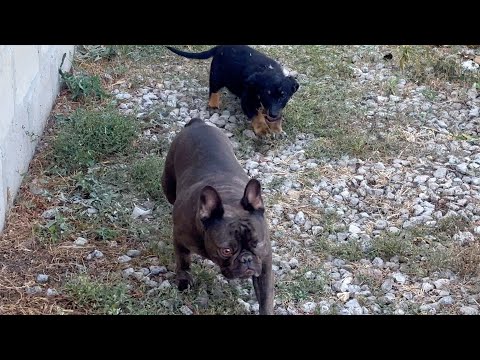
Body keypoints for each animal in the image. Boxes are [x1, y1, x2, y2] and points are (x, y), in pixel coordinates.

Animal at [161, 118, 274, 316]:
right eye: (226, 251)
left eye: (257, 244)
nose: (246, 259)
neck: (228, 198)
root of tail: (197, 123)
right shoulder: (180, 238)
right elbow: (183, 260)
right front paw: (183, 280)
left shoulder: (265, 260)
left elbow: (266, 295)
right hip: (168, 185)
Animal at [167, 44, 298, 136]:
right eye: (267, 94)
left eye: (283, 96)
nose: (273, 114)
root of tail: (220, 47)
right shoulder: (247, 101)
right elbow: (256, 115)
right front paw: (263, 129)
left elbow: (277, 115)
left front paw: (276, 128)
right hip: (216, 75)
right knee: (213, 90)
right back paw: (213, 104)